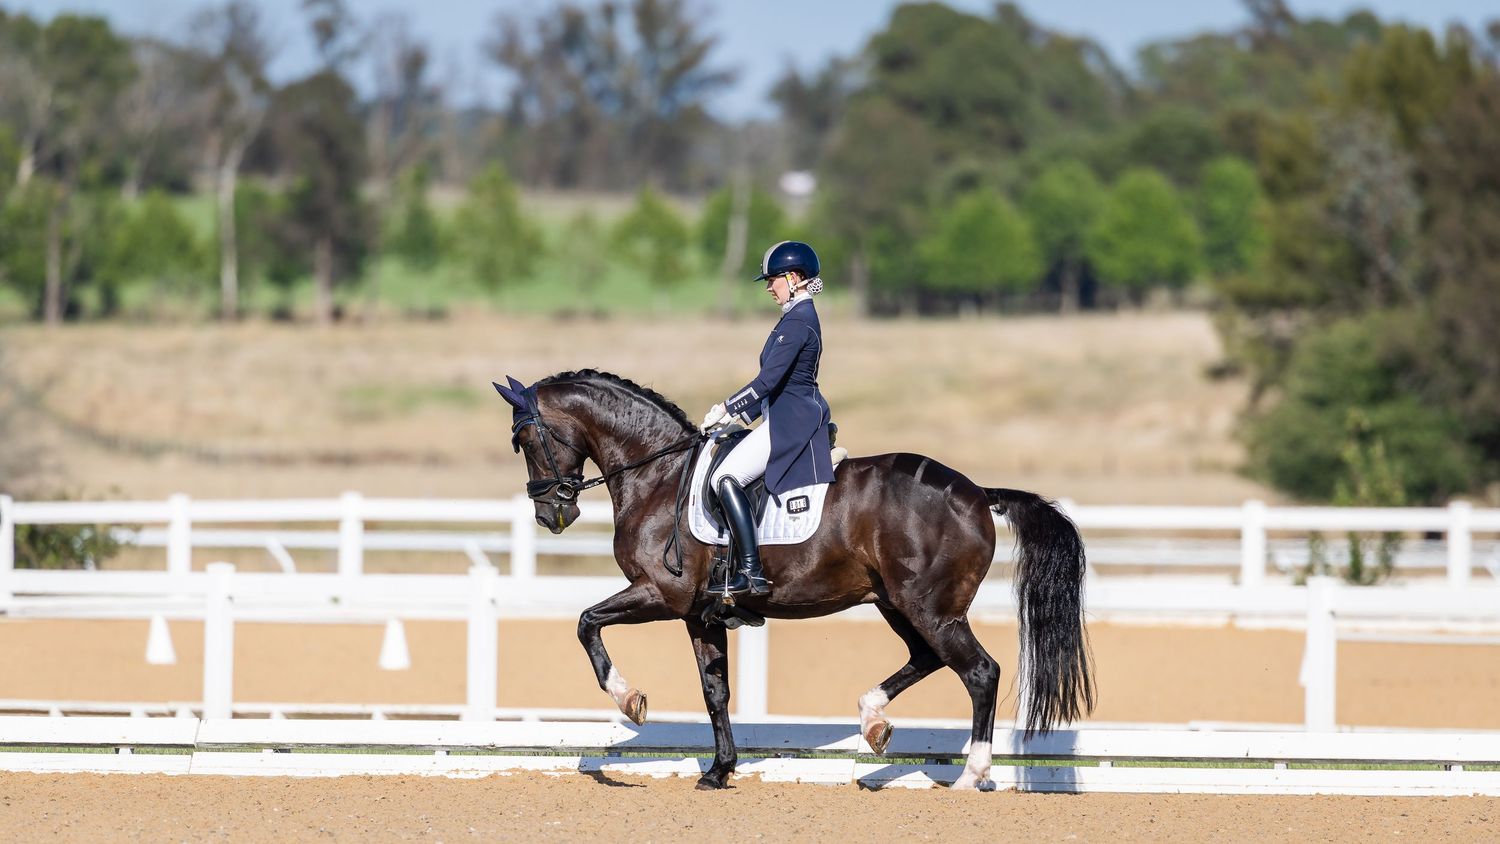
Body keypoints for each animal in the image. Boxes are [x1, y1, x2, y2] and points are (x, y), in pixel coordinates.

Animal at [493, 369, 1093, 791]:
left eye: (524, 439)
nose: (551, 515)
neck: (657, 475)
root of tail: (976, 493)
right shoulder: (699, 614)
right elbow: (715, 691)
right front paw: (719, 771)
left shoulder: (661, 595)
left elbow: (586, 622)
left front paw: (630, 699)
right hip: (897, 603)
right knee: (927, 658)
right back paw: (873, 723)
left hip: (932, 608)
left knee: (979, 672)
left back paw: (972, 774)